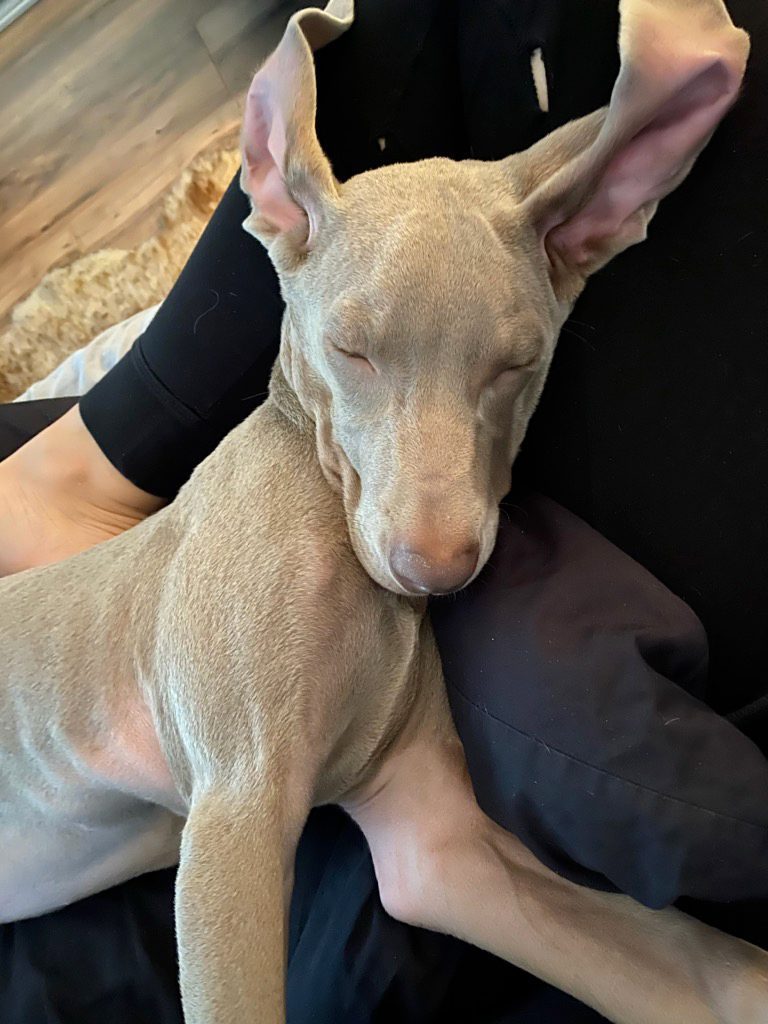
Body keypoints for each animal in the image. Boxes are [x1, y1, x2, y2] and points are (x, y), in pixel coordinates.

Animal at [1, 2, 768, 1024]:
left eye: (517, 364)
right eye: (351, 351)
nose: (433, 571)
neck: (318, 485)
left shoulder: (436, 841)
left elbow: (713, 972)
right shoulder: (236, 810)